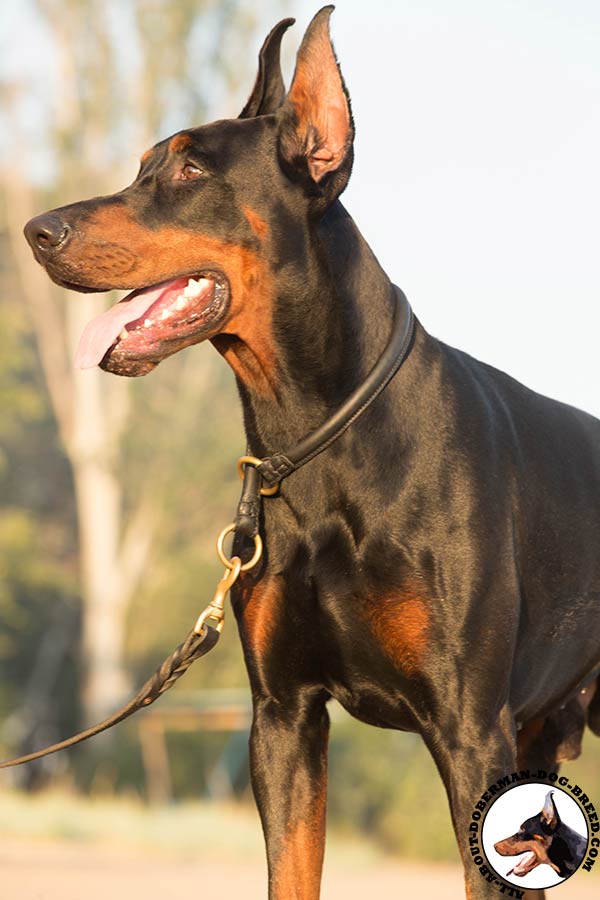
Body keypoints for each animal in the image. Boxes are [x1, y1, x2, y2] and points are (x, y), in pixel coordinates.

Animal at [21, 7, 596, 900]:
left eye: (190, 169)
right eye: (143, 165)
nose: (36, 231)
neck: (317, 440)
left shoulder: (469, 730)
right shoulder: (283, 719)